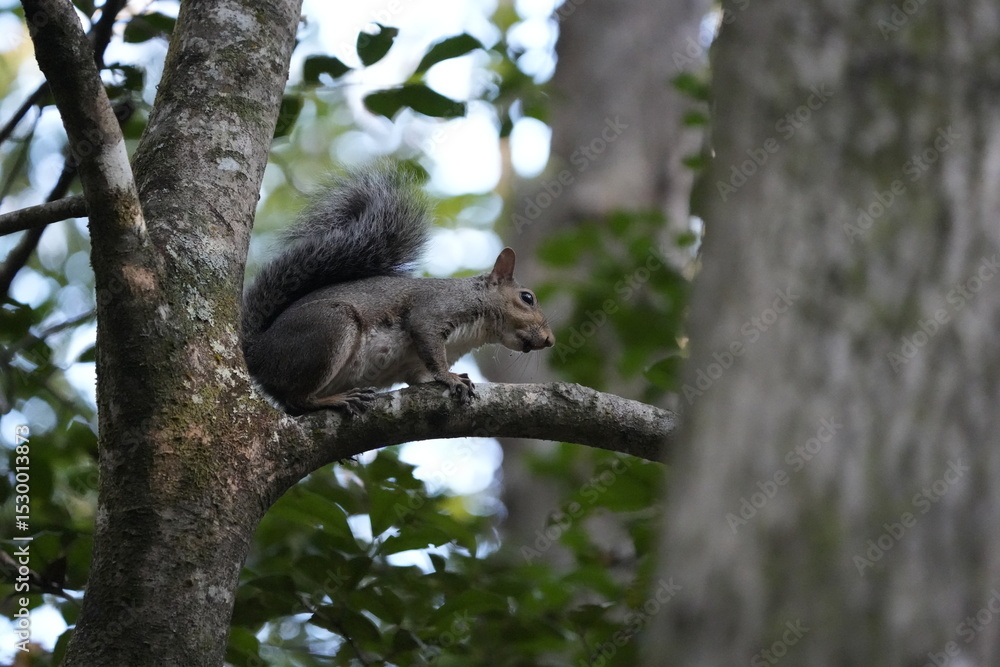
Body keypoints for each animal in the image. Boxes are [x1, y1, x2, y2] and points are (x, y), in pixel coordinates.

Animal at [241, 163, 555, 415]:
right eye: (527, 298)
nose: (550, 340)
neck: (476, 332)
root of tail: (257, 353)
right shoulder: (434, 310)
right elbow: (428, 339)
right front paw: (450, 377)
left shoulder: (414, 364)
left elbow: (420, 376)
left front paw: (452, 378)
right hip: (328, 329)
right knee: (296, 399)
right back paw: (337, 400)